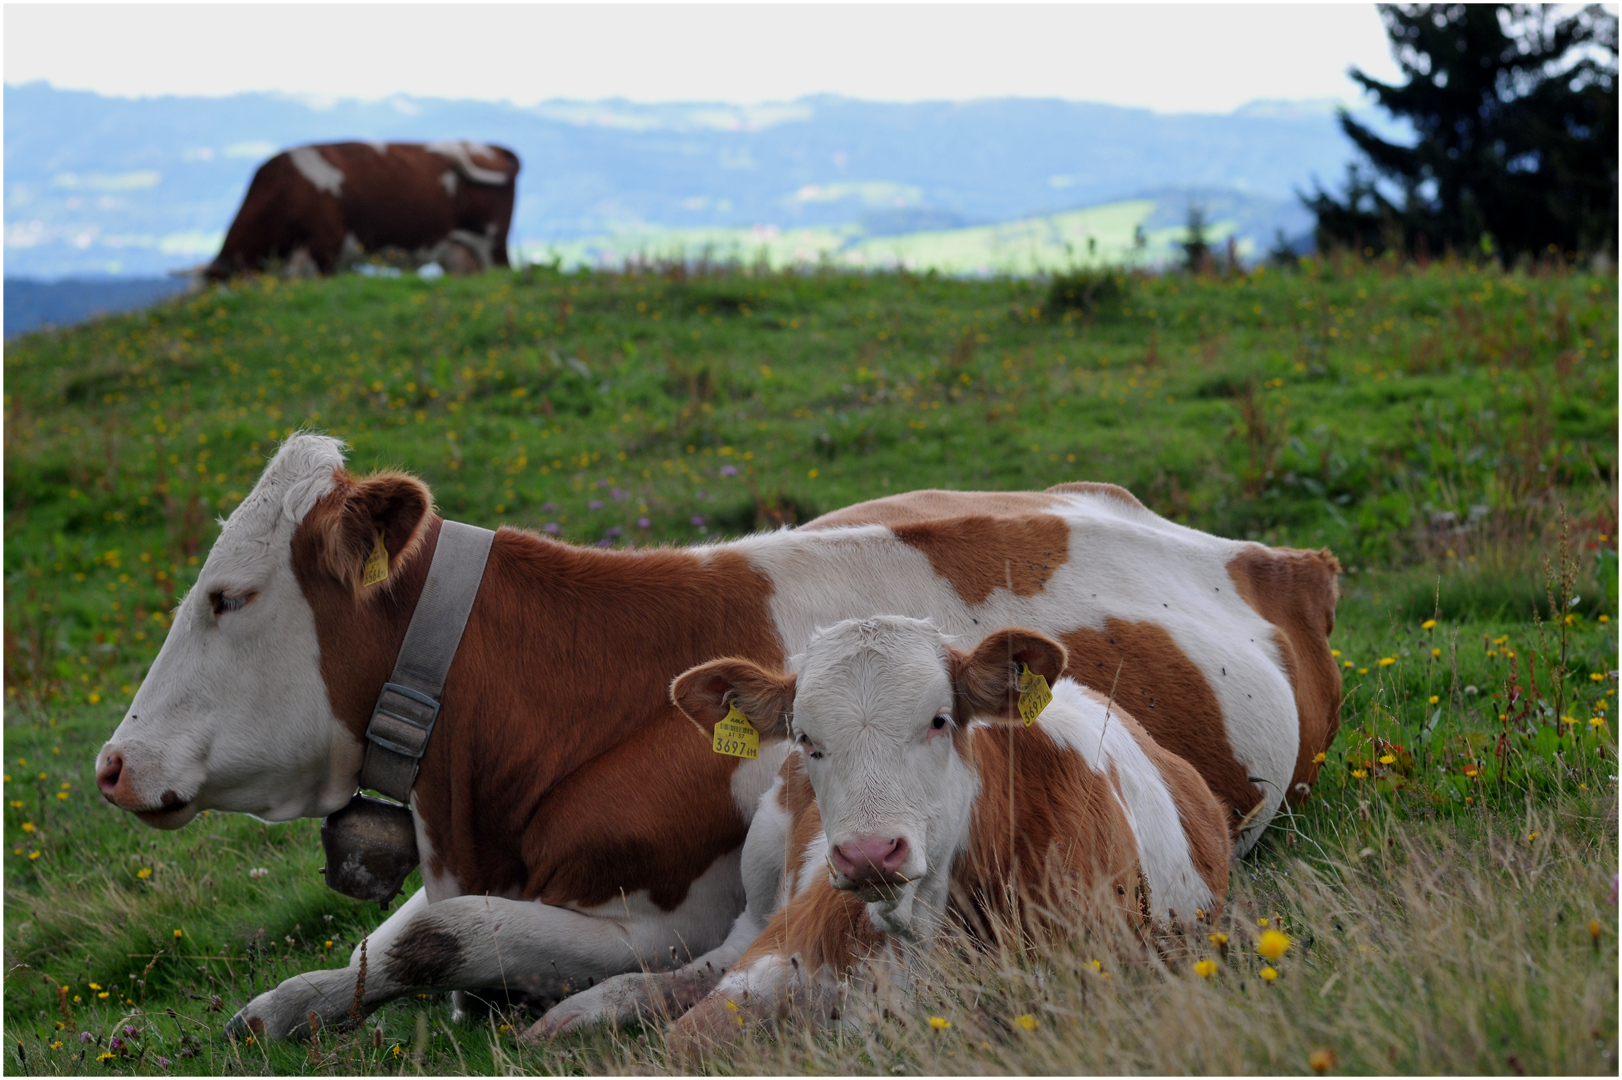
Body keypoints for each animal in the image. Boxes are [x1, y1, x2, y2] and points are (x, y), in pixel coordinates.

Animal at [532, 612, 1226, 1044]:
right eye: (807, 739)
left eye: (940, 720)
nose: (869, 853)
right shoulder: (774, 958)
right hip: (759, 881)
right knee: (701, 965)